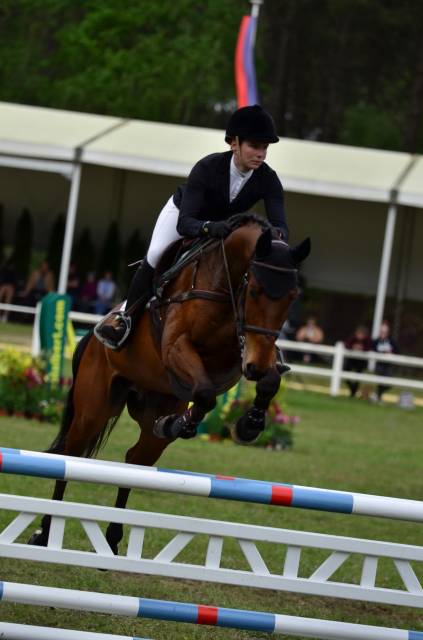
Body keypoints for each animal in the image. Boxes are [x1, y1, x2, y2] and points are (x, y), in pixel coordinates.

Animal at [29, 214, 310, 553]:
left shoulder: (246, 353)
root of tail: (92, 337)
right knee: (72, 455)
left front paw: (249, 424)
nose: (254, 367)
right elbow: (205, 393)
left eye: (293, 297)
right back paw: (45, 531)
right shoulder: (178, 347)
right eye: (254, 290)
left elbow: (267, 382)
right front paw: (182, 424)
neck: (223, 284)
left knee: (135, 462)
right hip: (92, 411)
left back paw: (113, 538)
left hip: (152, 410)